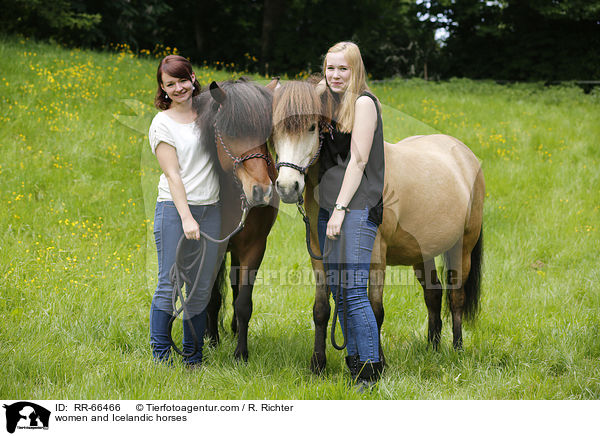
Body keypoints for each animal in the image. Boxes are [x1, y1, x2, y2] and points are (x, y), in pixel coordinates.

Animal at [196, 79, 280, 362]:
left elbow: (243, 301)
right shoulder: (212, 246)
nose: (261, 191)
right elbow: (212, 297)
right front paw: (211, 340)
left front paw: (241, 353)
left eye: (267, 134)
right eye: (230, 132)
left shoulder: (254, 247)